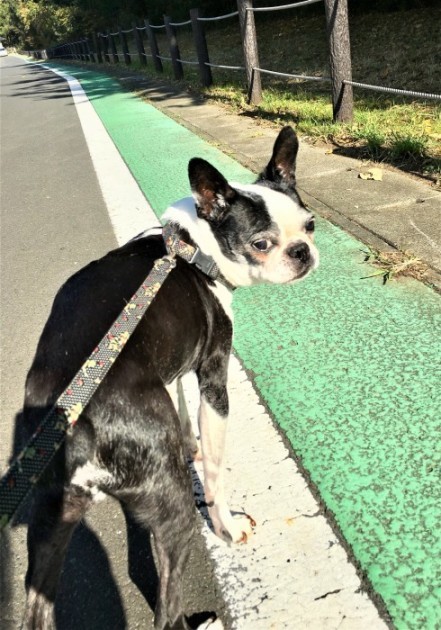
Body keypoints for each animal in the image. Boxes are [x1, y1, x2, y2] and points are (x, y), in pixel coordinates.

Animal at [21, 126, 316, 628]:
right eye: (261, 244)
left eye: (311, 225)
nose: (303, 253)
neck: (193, 247)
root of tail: (76, 431)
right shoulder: (214, 373)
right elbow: (215, 467)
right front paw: (228, 524)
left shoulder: (177, 362)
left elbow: (180, 401)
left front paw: (189, 442)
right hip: (171, 504)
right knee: (165, 603)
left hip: (48, 520)